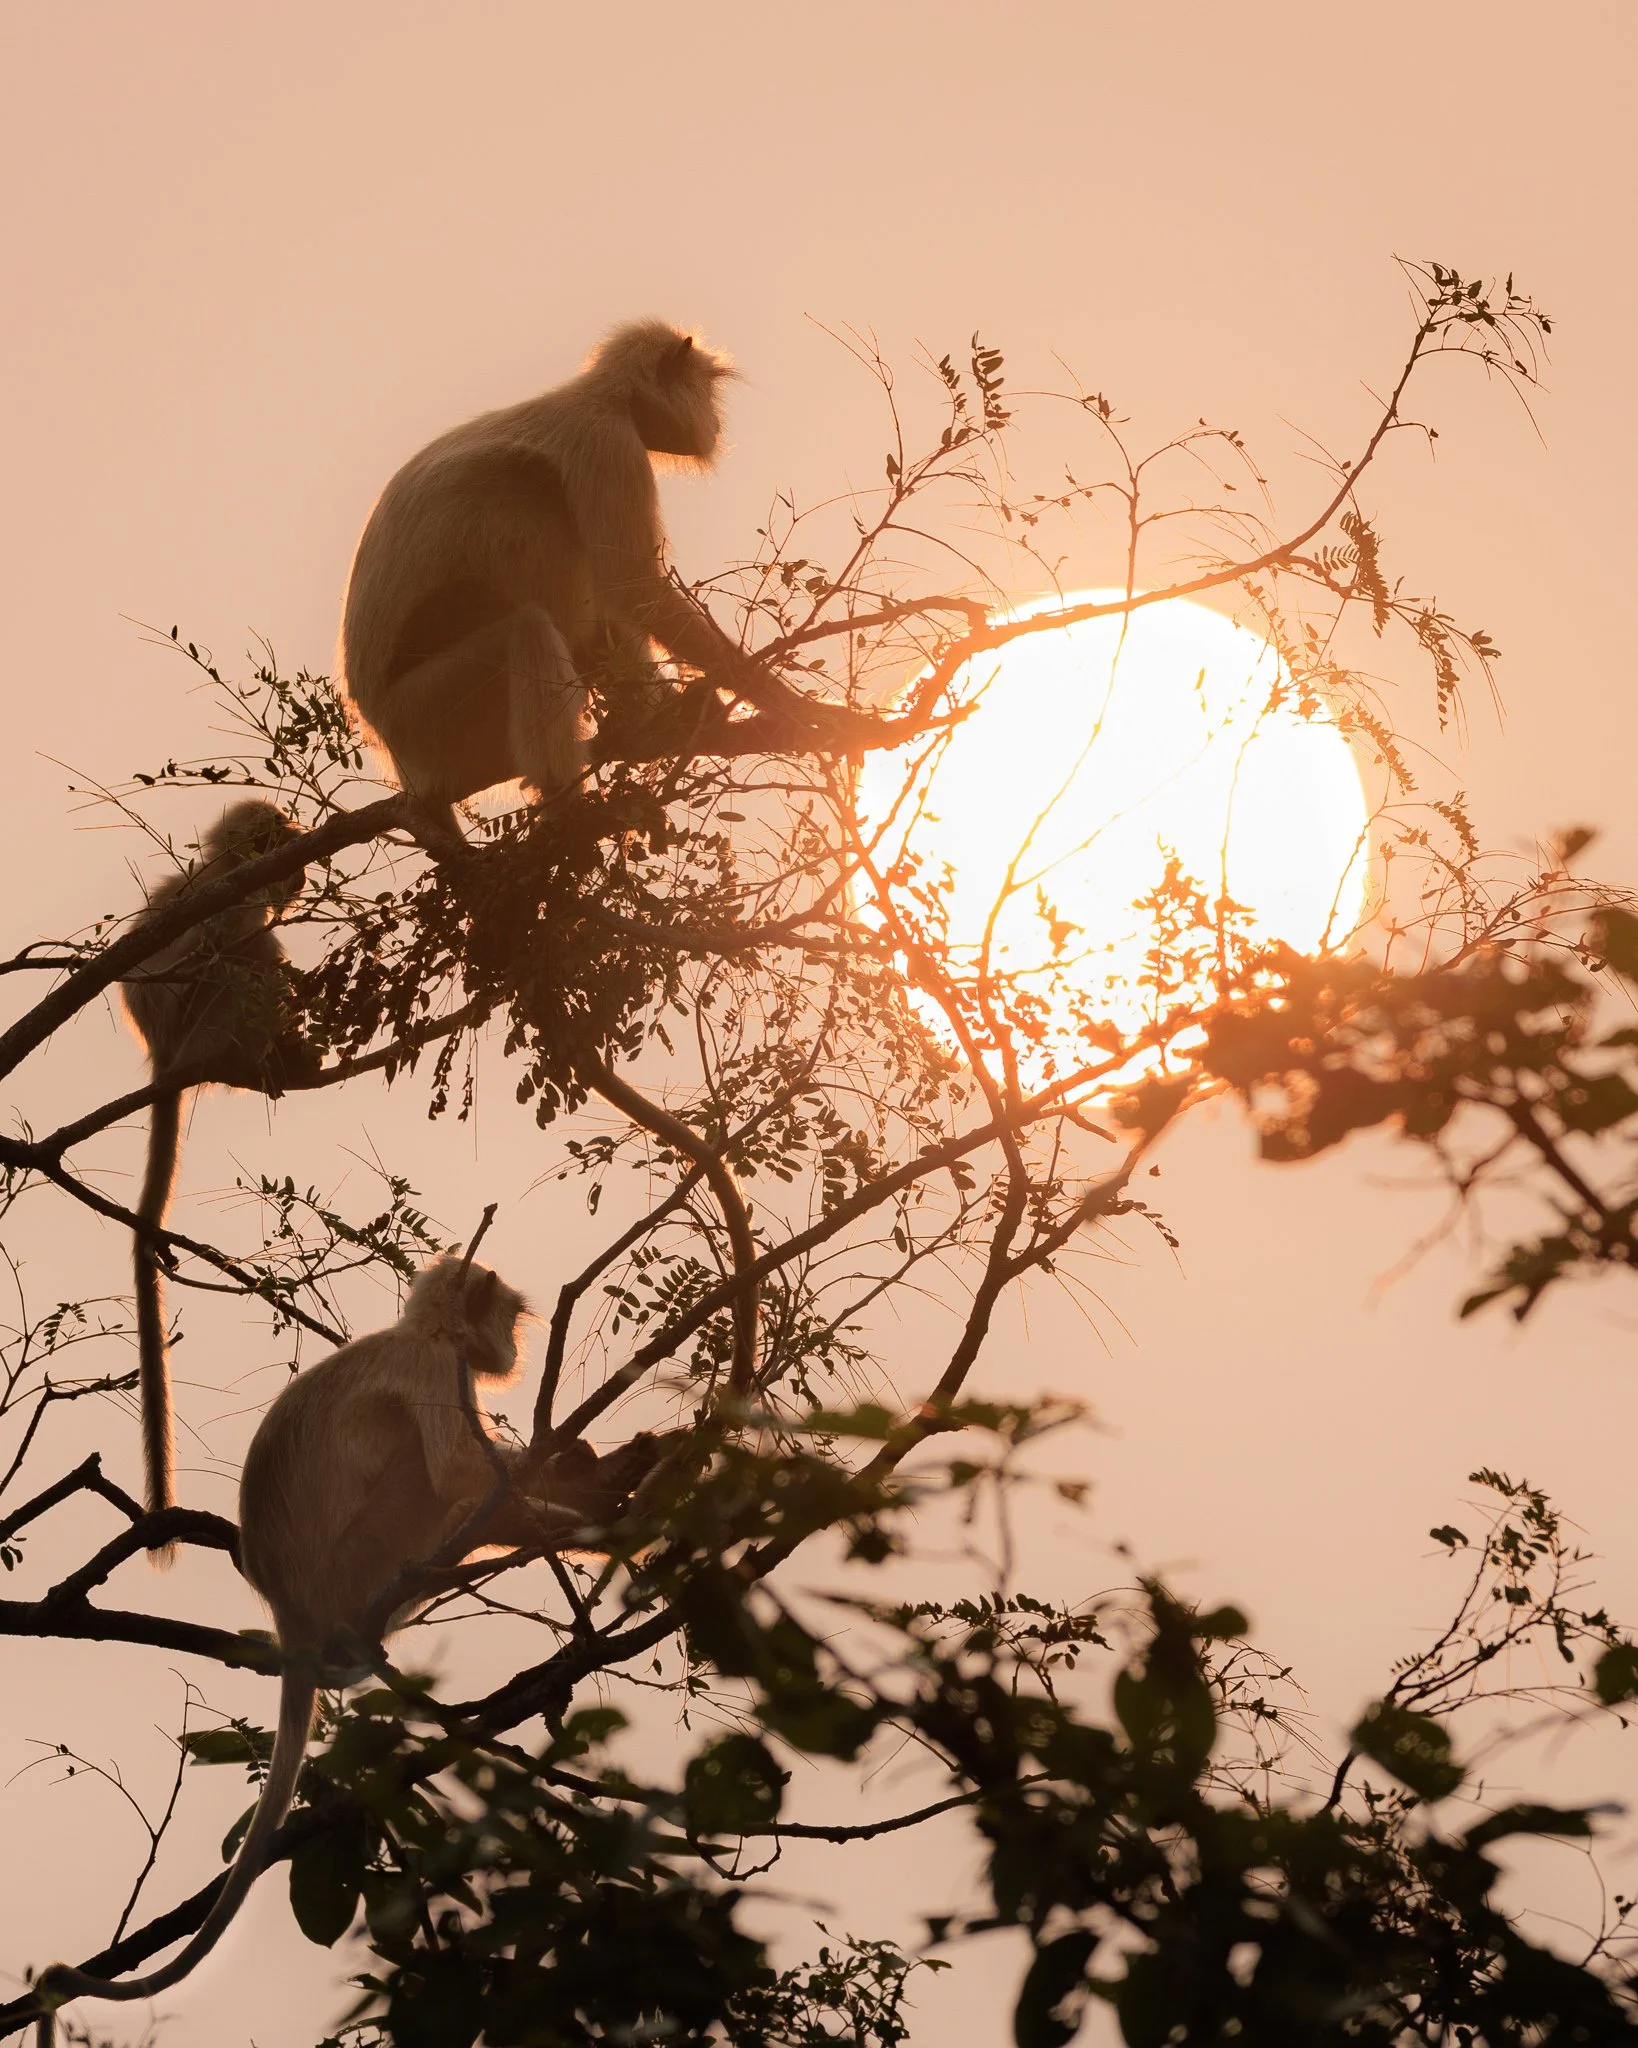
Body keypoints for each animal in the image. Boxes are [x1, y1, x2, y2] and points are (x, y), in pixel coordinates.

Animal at [30, 1254, 663, 2044]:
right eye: (511, 1321)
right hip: (364, 1555)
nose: (514, 1351)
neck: (428, 1331)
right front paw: (593, 1485)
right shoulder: (434, 1366)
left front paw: (595, 1469)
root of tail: (292, 1614)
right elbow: (459, 1473)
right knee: (437, 1489)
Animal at [119, 800, 320, 1556]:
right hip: (212, 1022)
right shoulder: (231, 897)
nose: (296, 869)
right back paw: (275, 1054)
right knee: (244, 967)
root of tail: (167, 1059)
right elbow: (230, 946)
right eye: (275, 841)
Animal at [339, 319, 752, 842]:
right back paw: (567, 808)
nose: (714, 423)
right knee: (530, 621)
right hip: (427, 716)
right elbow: (636, 588)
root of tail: (397, 757)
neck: (602, 398)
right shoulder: (608, 444)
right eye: (707, 390)